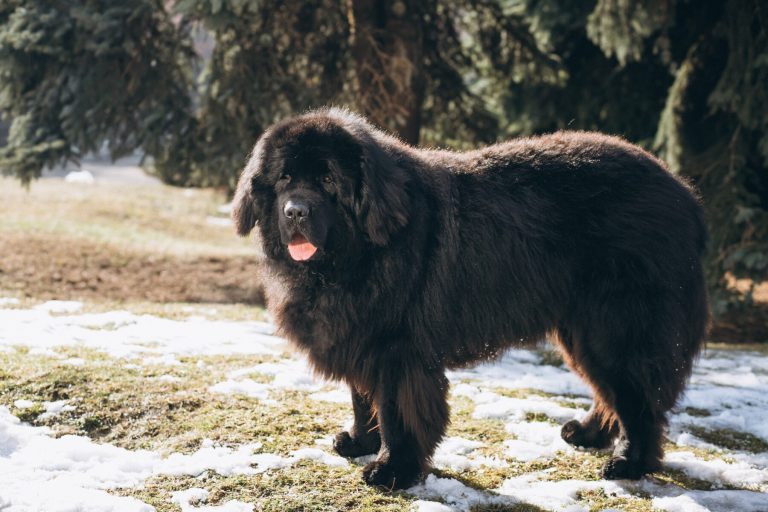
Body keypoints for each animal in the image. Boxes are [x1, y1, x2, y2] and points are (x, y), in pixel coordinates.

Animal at [232, 107, 708, 488]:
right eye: (285, 178)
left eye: (329, 179)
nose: (295, 211)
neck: (355, 254)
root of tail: (684, 193)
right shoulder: (358, 335)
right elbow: (361, 397)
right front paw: (359, 442)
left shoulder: (398, 349)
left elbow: (395, 410)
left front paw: (393, 469)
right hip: (581, 330)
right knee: (612, 392)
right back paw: (589, 434)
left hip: (615, 327)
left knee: (639, 400)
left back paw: (630, 463)